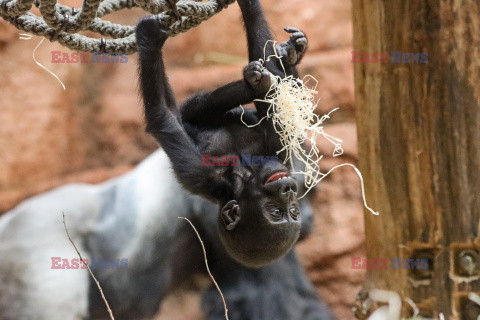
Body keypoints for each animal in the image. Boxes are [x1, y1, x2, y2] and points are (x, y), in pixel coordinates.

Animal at [135, 0, 308, 268]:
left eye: (288, 212)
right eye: (278, 212)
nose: (288, 189)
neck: (244, 176)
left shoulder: (205, 174)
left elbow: (161, 118)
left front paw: (149, 39)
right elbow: (285, 131)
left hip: (189, 113)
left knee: (177, 111)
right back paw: (286, 58)